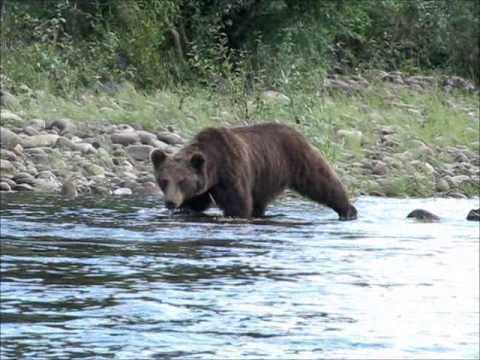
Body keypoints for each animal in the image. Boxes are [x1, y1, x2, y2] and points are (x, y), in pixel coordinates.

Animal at [150, 123, 356, 219]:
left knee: (321, 181)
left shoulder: (232, 172)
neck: (216, 168)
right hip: (266, 179)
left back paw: (348, 210)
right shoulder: (203, 186)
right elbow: (195, 205)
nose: (170, 202)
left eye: (182, 180)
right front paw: (184, 211)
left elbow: (239, 205)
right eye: (164, 180)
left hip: (298, 160)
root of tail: (297, 132)